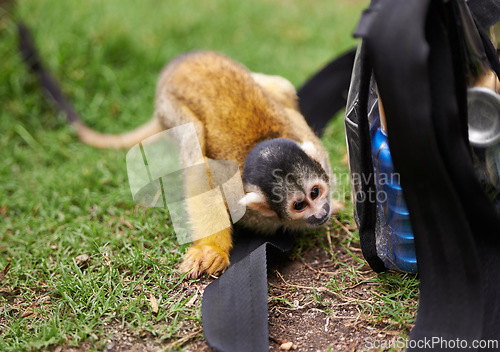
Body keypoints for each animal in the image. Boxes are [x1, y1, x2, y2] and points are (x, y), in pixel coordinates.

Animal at [24, 44, 336, 278]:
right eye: (299, 205)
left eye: (316, 192)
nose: (322, 211)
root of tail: (181, 62)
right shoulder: (239, 197)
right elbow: (202, 176)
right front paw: (212, 250)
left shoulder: (312, 144)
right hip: (168, 104)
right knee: (192, 137)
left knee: (281, 87)